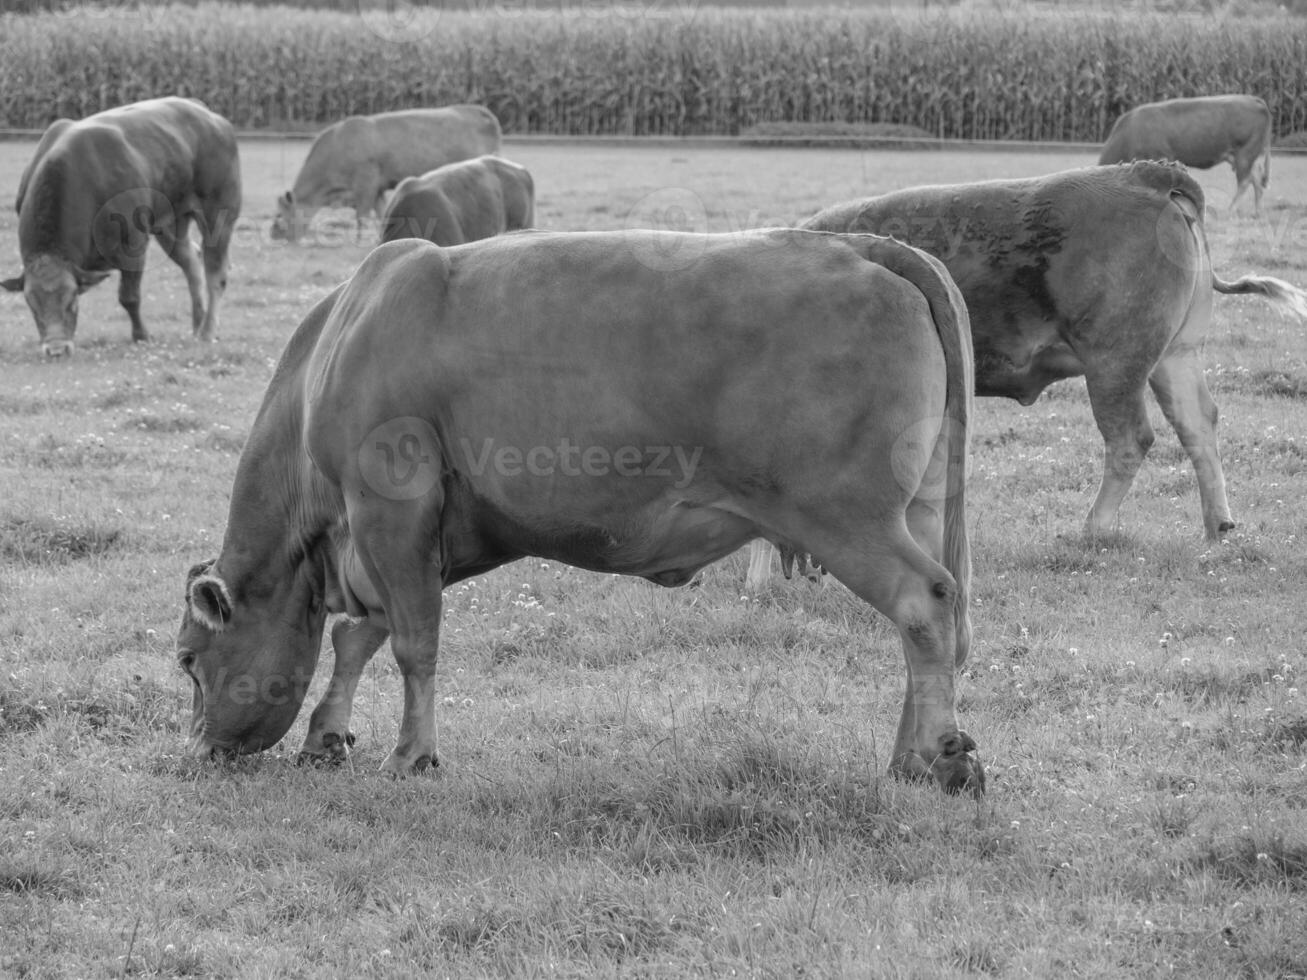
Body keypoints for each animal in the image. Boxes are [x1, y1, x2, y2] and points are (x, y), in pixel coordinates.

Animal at [1, 94, 241, 358]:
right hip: (170, 224)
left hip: (219, 215)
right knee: (192, 264)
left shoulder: (133, 244)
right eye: (31, 304)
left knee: (215, 273)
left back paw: (208, 330)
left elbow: (129, 297)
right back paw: (198, 323)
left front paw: (141, 335)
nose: (56, 349)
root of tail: (207, 114)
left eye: (72, 300)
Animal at [179, 228, 982, 799]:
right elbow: (357, 637)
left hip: (843, 515)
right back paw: (908, 760)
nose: (195, 754)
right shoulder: (398, 538)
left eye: (188, 660)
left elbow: (412, 642)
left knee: (924, 602)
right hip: (915, 506)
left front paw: (411, 755)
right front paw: (326, 738)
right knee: (935, 623)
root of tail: (862, 244)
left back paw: (942, 758)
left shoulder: (392, 511)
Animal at [747, 161, 1307, 590]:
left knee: (1132, 439)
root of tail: (1147, 173)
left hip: (1114, 361)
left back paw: (1091, 530)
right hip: (1177, 355)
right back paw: (1217, 527)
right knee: (1199, 426)